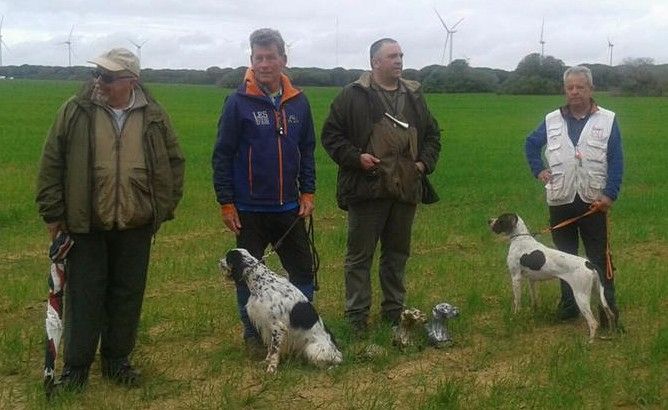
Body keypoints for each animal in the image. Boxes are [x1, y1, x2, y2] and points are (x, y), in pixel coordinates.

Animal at [486, 213, 616, 342]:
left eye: (500, 220)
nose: (489, 221)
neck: (520, 239)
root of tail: (589, 264)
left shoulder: (516, 278)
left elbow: (517, 301)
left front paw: (515, 316)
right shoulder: (531, 280)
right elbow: (534, 298)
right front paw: (533, 312)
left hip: (581, 296)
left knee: (593, 322)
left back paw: (589, 342)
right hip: (597, 293)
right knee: (609, 313)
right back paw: (609, 334)